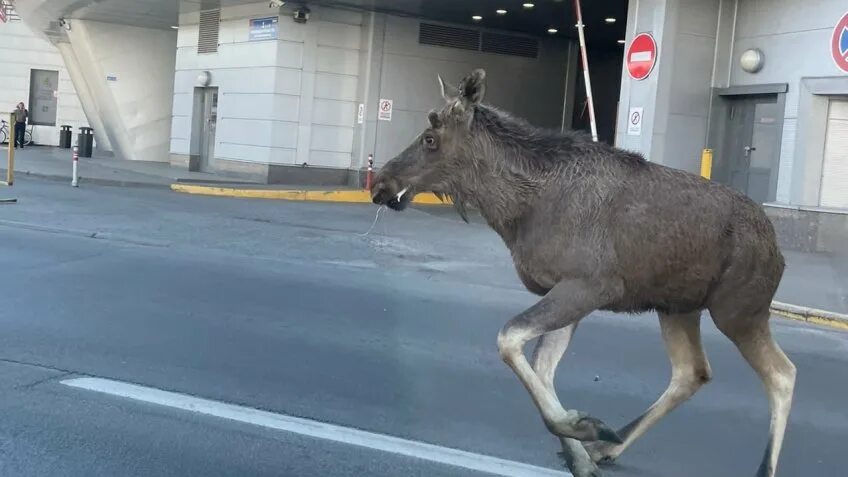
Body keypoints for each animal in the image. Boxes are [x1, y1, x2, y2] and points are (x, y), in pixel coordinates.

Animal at [370, 68, 796, 476]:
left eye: (430, 138)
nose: (380, 182)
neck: (516, 211)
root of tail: (776, 246)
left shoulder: (591, 285)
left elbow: (508, 339)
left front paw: (586, 429)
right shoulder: (565, 290)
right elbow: (541, 367)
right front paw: (582, 447)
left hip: (738, 311)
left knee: (783, 374)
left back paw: (763, 467)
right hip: (677, 307)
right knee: (692, 372)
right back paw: (611, 445)